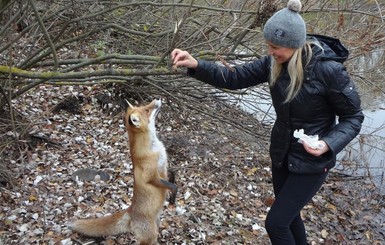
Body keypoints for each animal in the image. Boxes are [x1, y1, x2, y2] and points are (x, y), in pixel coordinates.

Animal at [67, 98, 177, 244]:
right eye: (147, 110)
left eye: (145, 106)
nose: (157, 99)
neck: (153, 148)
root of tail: (130, 211)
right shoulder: (151, 177)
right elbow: (172, 185)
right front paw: (173, 195)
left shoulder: (163, 167)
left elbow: (172, 174)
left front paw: (172, 187)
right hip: (150, 235)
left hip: (156, 225)